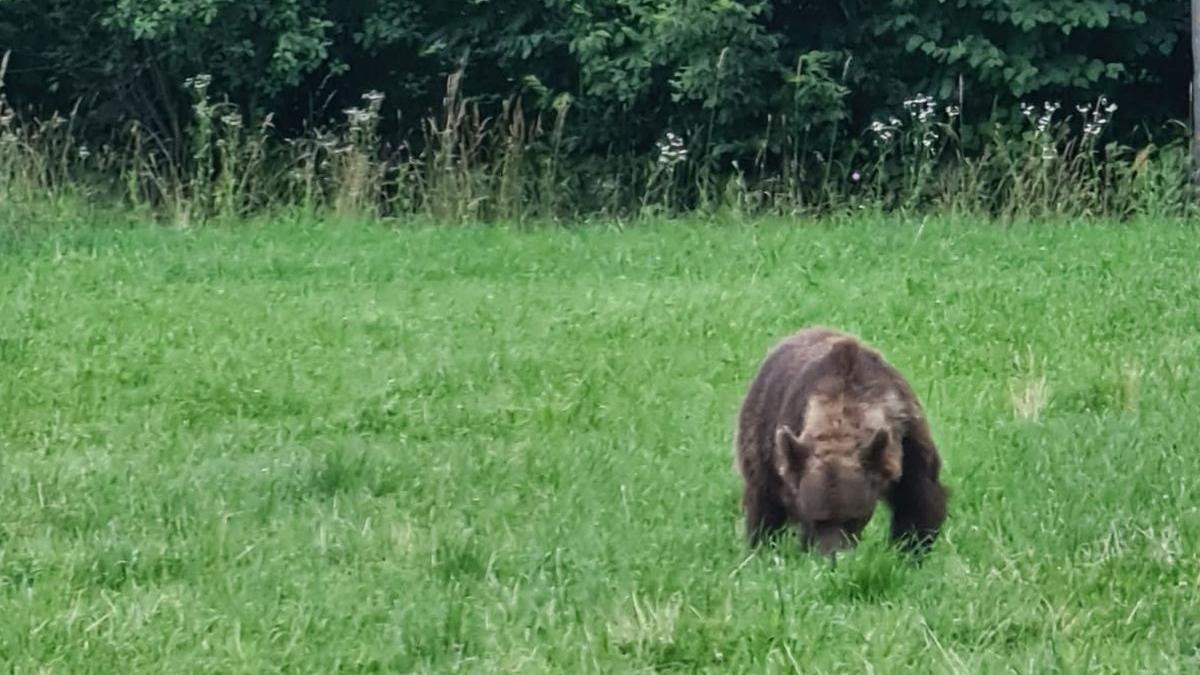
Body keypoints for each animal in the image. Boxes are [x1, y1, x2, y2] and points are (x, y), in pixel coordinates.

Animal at [729, 324, 945, 554]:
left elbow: (918, 498)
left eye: (852, 519)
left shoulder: (907, 438)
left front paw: (912, 547)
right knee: (763, 500)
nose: (832, 555)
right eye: (817, 519)